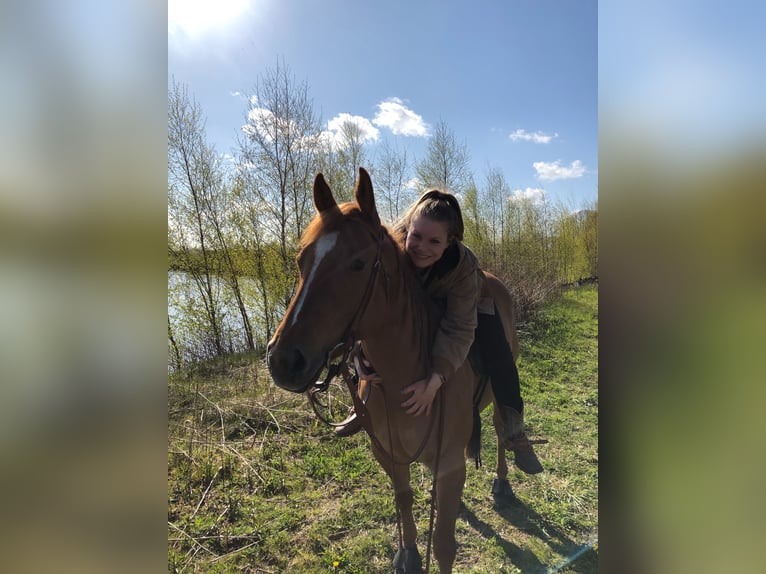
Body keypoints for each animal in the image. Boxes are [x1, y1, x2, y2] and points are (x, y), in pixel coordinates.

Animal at [267, 168, 520, 573]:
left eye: (358, 263)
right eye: (301, 259)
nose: (283, 360)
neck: (407, 372)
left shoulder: (451, 466)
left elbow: (444, 547)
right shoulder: (388, 455)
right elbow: (404, 499)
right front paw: (408, 552)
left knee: (499, 428)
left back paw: (502, 481)